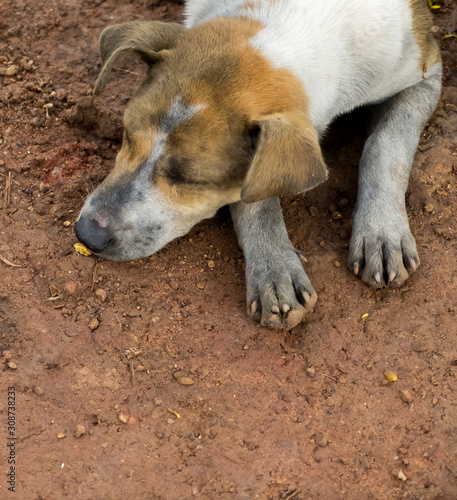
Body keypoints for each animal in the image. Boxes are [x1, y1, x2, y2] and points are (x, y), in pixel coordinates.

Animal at [75, 0, 442, 330]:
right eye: (125, 133)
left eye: (190, 179)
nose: (86, 235)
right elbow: (254, 198)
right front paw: (275, 271)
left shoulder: (427, 68)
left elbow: (386, 142)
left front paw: (382, 232)